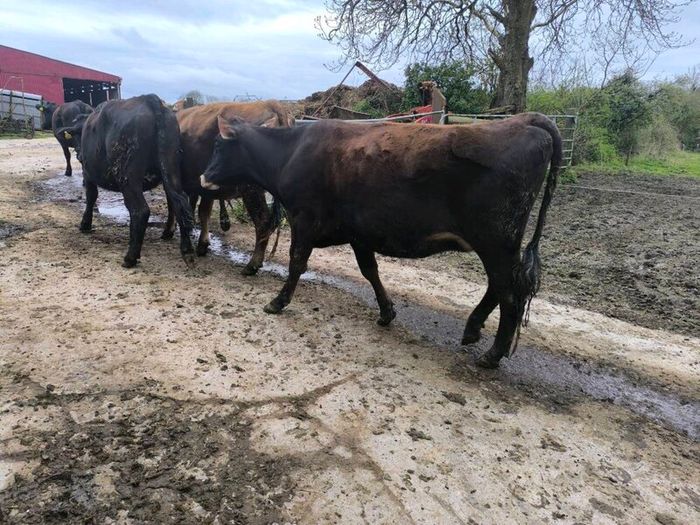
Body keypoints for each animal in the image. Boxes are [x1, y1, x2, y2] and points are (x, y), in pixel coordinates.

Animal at [56, 94, 195, 268]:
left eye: (77, 135)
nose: (79, 155)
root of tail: (150, 100)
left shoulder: (87, 173)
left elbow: (91, 197)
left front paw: (85, 224)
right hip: (170, 169)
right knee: (179, 203)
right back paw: (186, 249)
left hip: (128, 177)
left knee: (140, 210)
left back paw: (130, 257)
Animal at [163, 101, 290, 275]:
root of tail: (272, 104)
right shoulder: (204, 185)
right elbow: (203, 211)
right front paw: (202, 244)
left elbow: (174, 207)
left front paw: (168, 231)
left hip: (251, 189)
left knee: (263, 223)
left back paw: (252, 265)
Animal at [200, 113, 562, 368]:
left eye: (218, 146)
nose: (203, 176)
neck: (291, 152)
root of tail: (523, 120)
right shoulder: (359, 232)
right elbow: (369, 271)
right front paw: (387, 311)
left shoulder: (304, 219)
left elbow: (296, 262)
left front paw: (278, 301)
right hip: (496, 245)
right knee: (499, 287)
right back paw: (473, 329)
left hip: (496, 241)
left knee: (510, 293)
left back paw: (493, 354)